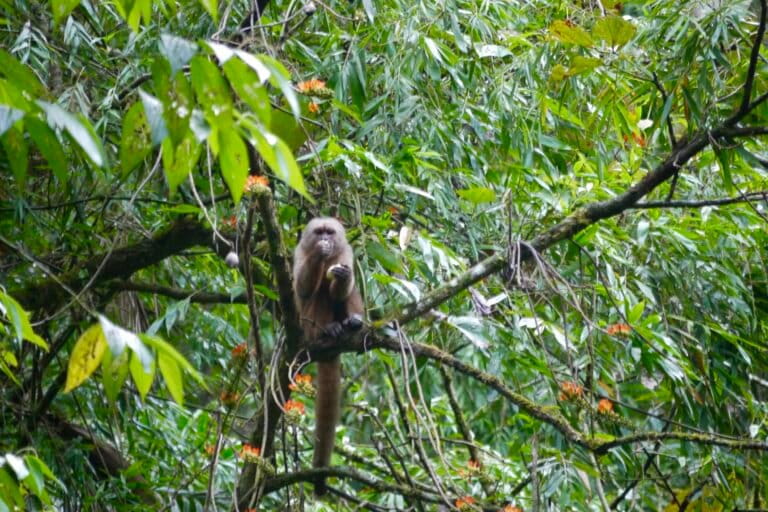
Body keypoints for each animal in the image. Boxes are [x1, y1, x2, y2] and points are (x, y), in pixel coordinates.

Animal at [292, 217, 363, 495]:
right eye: (319, 232)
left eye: (330, 232)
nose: (325, 240)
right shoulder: (299, 251)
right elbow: (303, 288)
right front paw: (318, 254)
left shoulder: (346, 253)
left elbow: (342, 289)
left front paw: (344, 277)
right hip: (307, 326)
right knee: (318, 292)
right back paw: (328, 330)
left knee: (344, 292)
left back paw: (353, 323)